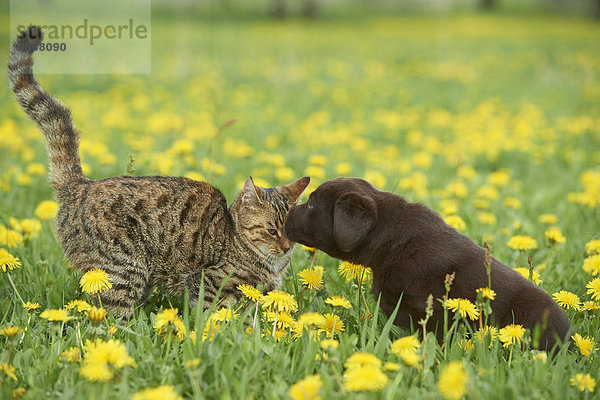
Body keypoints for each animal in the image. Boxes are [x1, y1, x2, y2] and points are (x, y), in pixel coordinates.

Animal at [9, 26, 310, 318]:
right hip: (122, 272)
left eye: (292, 231)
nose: (287, 247)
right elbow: (215, 319)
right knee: (111, 321)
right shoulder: (208, 286)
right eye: (271, 230)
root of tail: (81, 185)